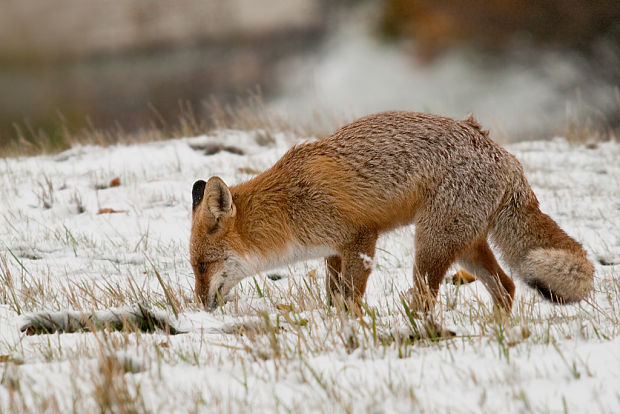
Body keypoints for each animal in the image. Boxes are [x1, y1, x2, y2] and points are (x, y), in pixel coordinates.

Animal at [190, 111, 596, 312]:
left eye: (203, 266)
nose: (201, 306)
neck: (288, 207)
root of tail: (504, 156)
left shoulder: (360, 238)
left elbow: (351, 298)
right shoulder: (333, 252)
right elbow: (334, 297)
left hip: (430, 245)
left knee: (427, 298)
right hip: (465, 246)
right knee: (507, 287)